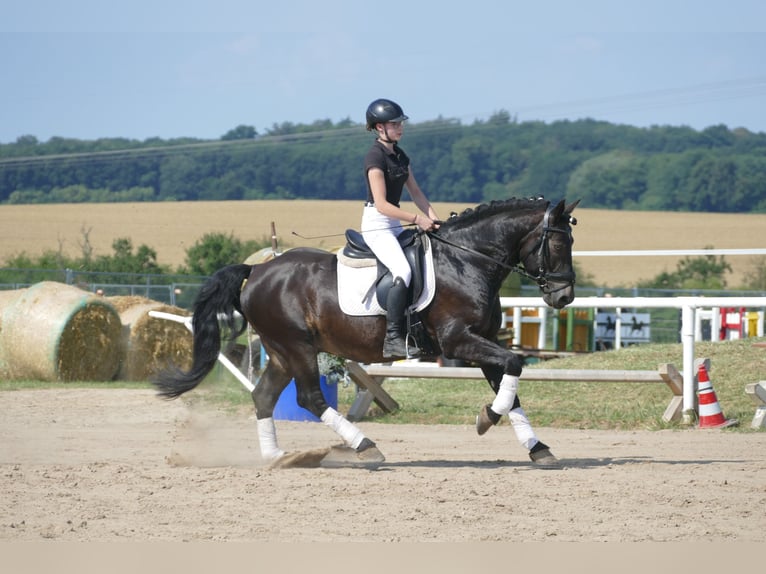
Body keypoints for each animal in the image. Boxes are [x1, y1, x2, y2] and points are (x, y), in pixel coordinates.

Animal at [153, 198, 580, 468]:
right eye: (560, 243)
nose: (564, 297)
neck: (465, 260)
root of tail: (257, 270)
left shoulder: (483, 340)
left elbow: (511, 382)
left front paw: (536, 448)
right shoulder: (459, 340)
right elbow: (514, 364)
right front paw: (487, 418)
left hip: (279, 351)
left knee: (264, 396)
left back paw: (279, 458)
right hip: (297, 347)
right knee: (309, 398)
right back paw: (365, 447)